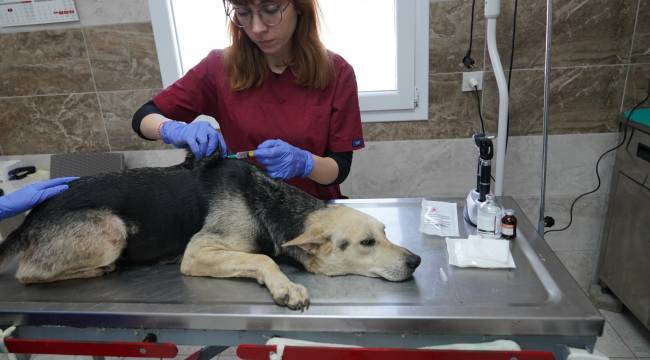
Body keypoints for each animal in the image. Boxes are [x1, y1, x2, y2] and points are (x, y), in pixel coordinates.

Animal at [0, 150, 420, 310]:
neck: (270, 200)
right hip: (112, 229)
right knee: (28, 274)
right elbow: (265, 259)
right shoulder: (198, 253)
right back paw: (100, 268)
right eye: (367, 243)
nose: (416, 261)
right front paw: (285, 287)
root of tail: (35, 213)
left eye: (386, 232)